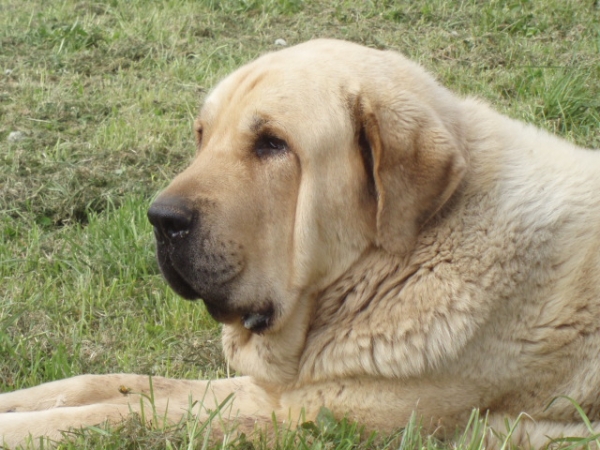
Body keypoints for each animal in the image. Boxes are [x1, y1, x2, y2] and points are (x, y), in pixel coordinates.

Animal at [1, 40, 600, 448]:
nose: (160, 219)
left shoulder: (302, 417)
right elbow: (111, 383)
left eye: (272, 144)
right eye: (202, 135)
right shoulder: (271, 391)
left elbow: (122, 412)